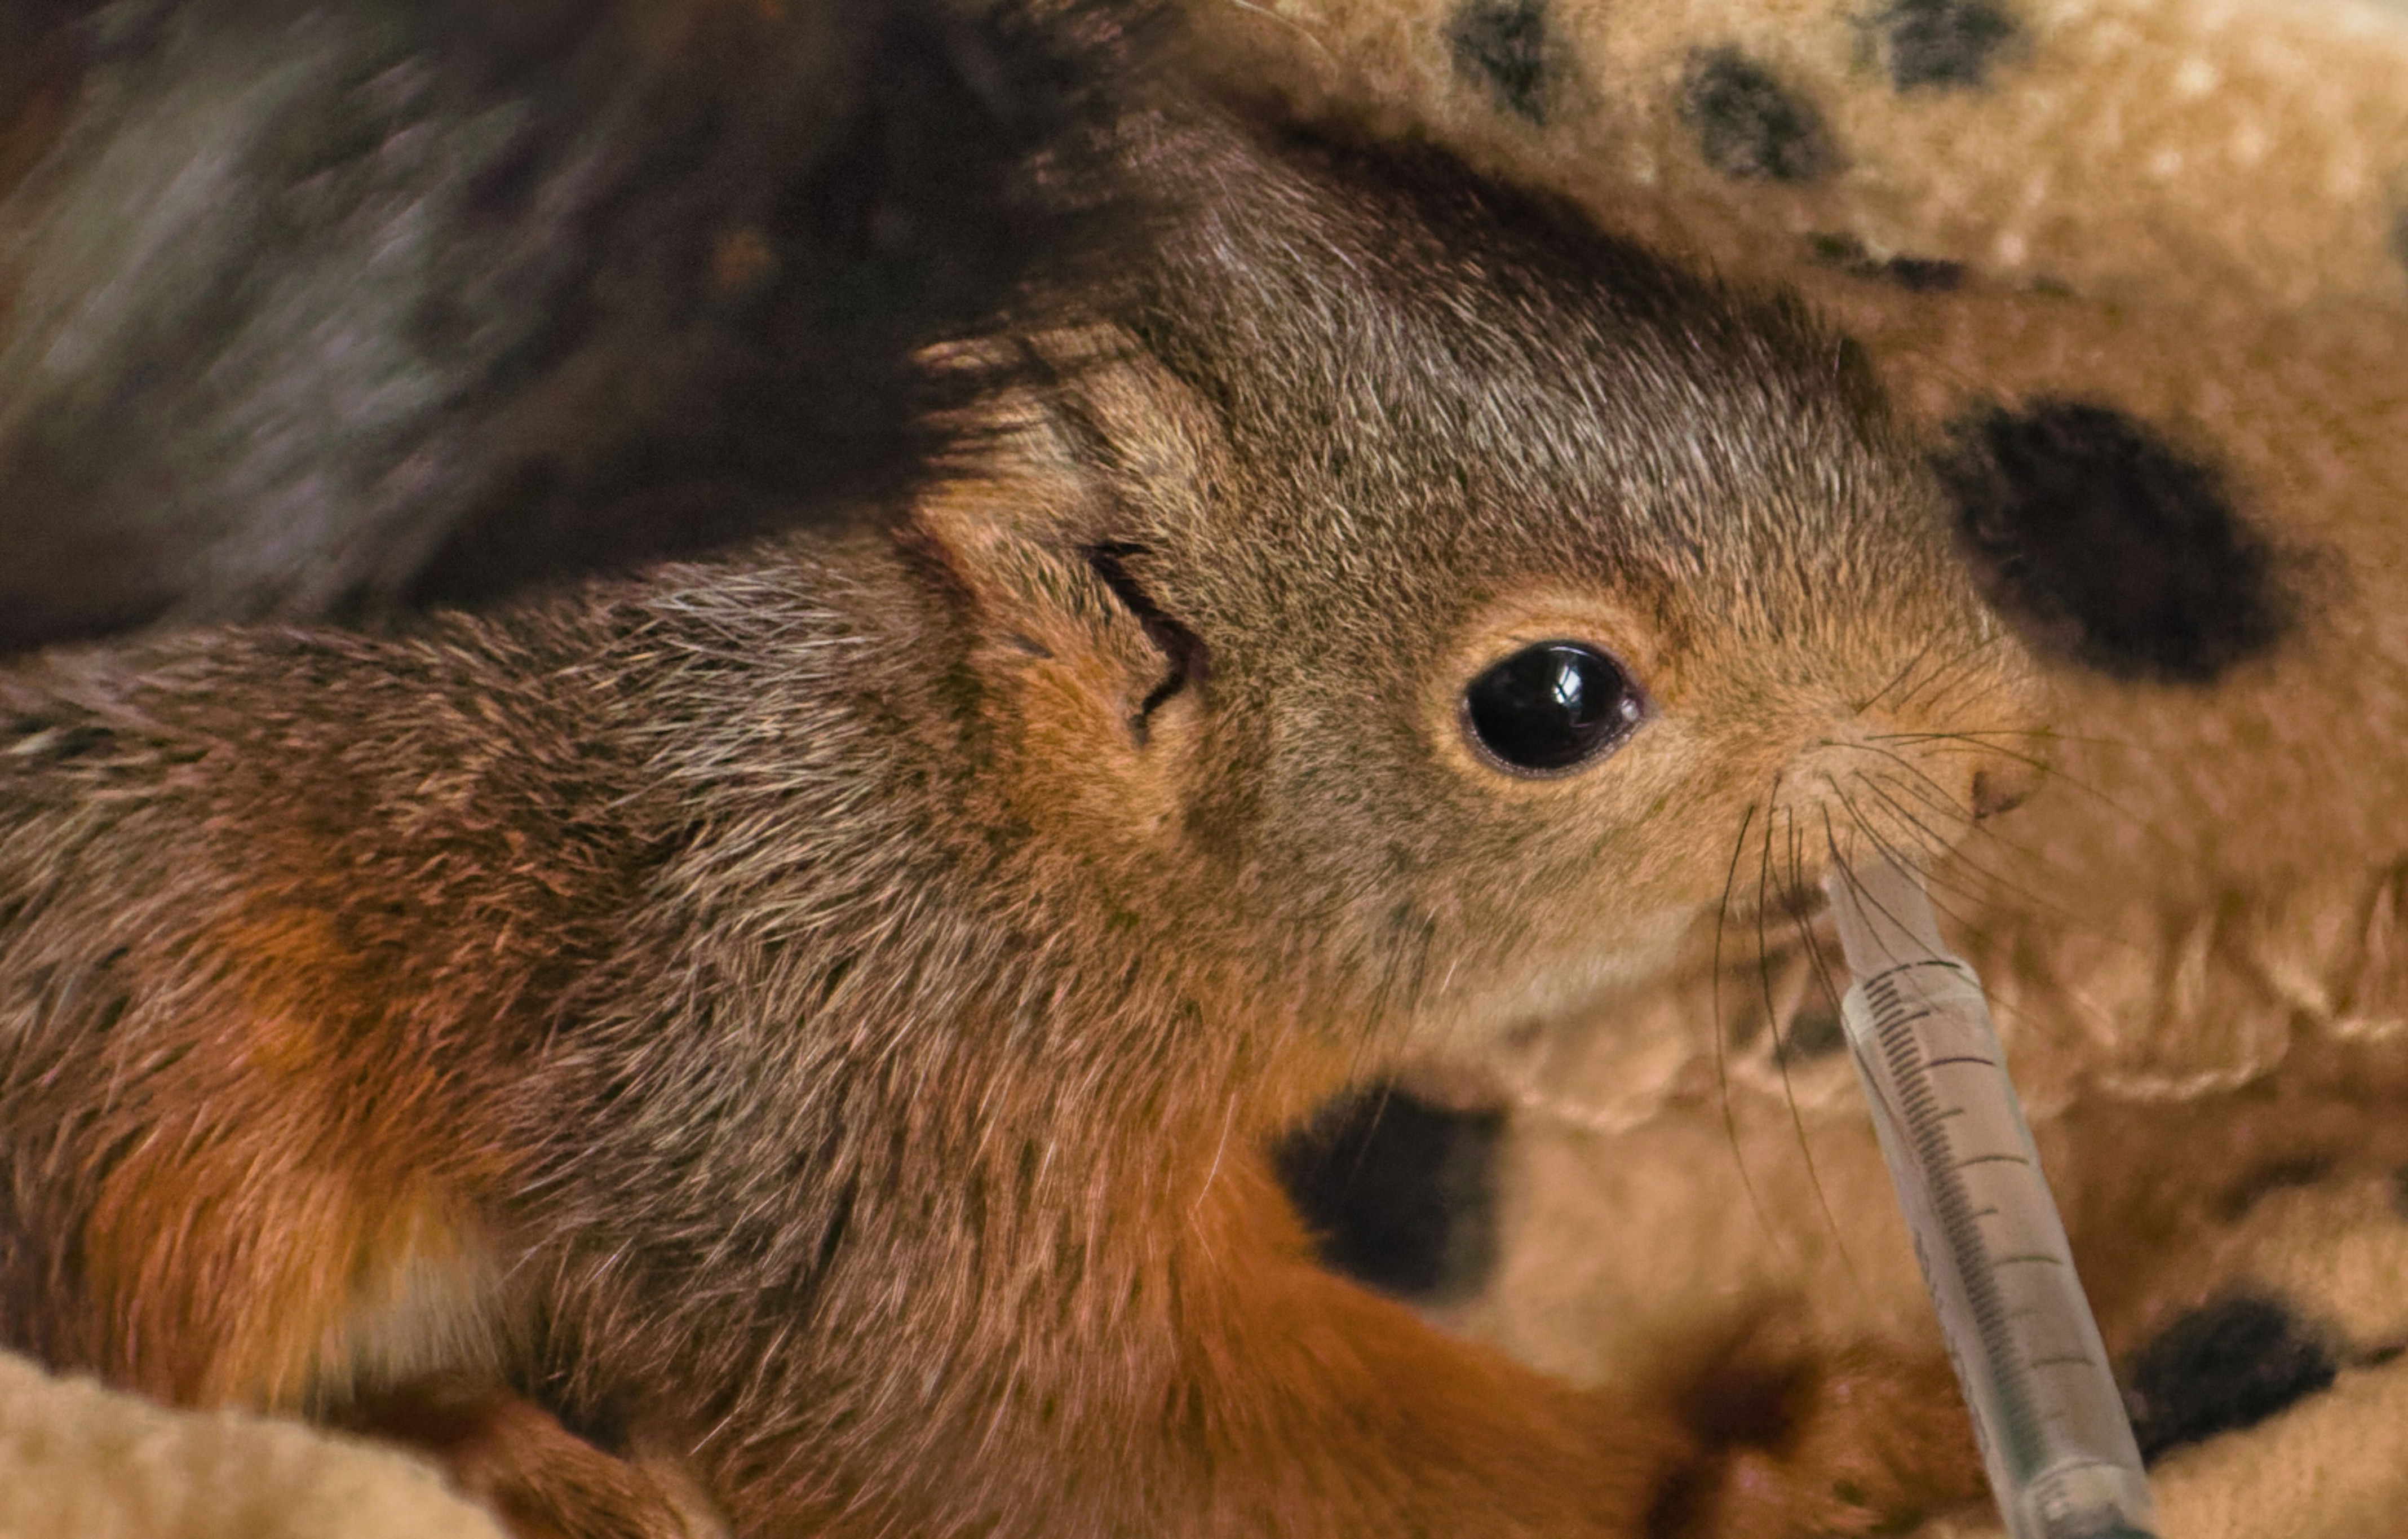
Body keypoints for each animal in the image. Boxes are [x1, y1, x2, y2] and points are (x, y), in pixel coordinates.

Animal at [0, 3, 2032, 1539]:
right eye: (1548, 700)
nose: (1999, 755)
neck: (986, 794)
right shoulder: (819, 1045)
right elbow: (1058, 1423)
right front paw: (1782, 1476)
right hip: (174, 1069)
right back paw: (504, 1453)